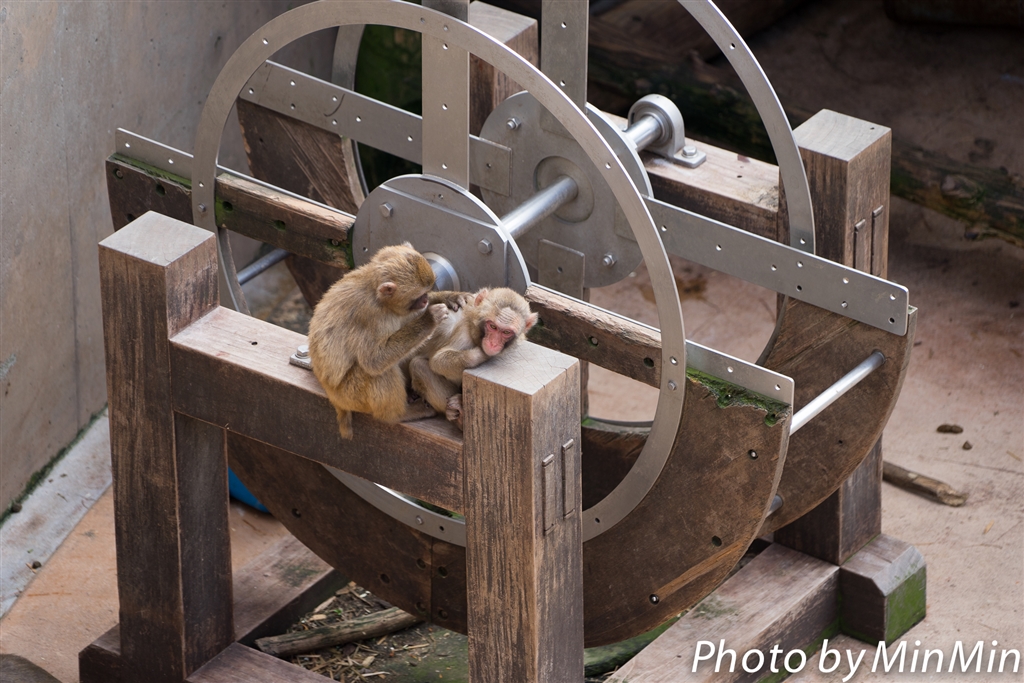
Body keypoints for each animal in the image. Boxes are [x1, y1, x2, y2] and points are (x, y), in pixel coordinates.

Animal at [307, 243, 450, 439]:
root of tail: (331, 394)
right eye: (418, 296)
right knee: (376, 372)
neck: (376, 294)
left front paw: (449, 297)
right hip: (351, 395)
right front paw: (430, 318)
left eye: (427, 292)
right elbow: (374, 361)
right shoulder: (370, 315)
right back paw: (396, 415)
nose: (426, 300)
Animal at [408, 287, 538, 430]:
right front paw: (481, 354)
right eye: (492, 326)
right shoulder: (464, 334)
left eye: (506, 332)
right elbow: (439, 360)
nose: (493, 343)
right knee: (418, 365)